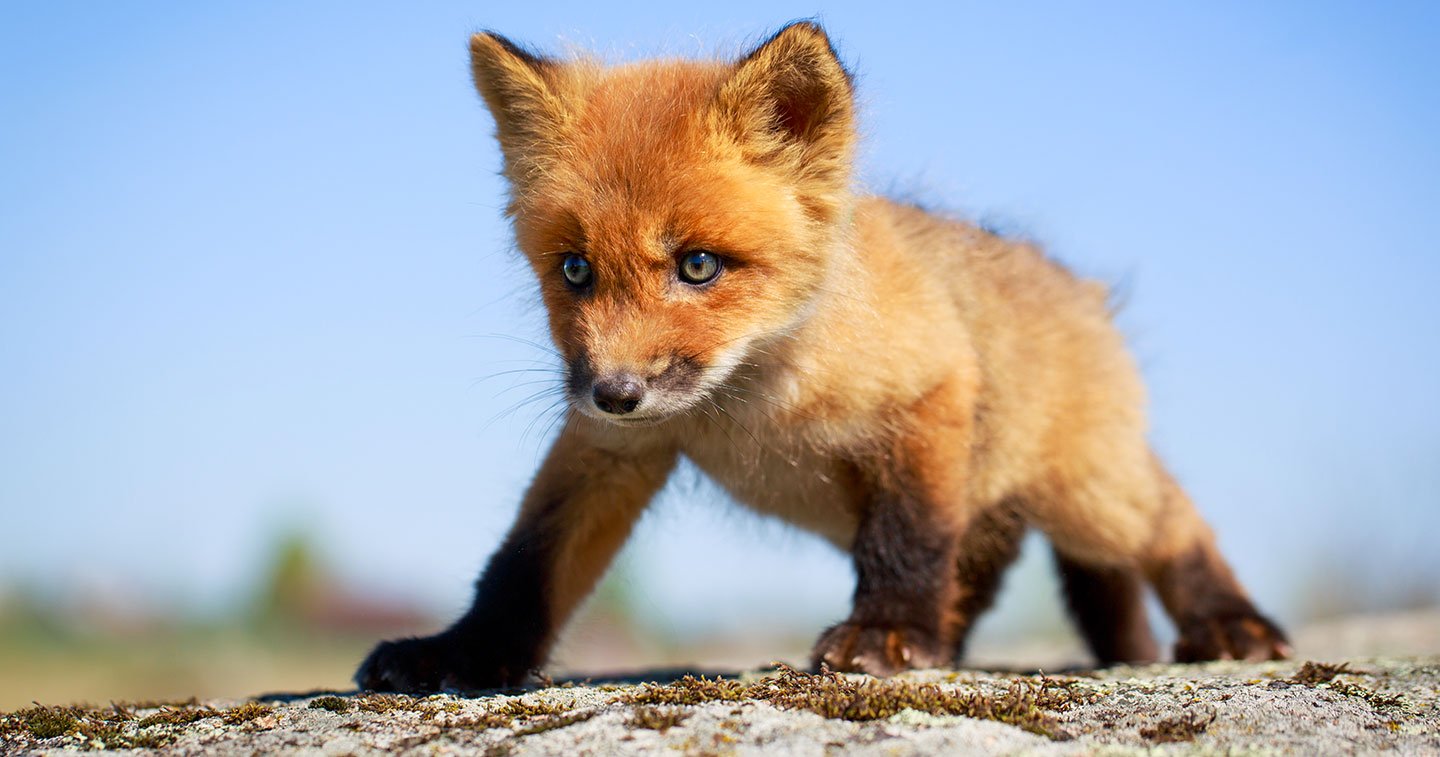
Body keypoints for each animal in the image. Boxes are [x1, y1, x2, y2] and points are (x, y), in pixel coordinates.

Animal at [354, 20, 1290, 693]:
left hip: (1087, 493)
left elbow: (905, 539)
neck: (754, 401)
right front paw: (461, 653)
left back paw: (1231, 624)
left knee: (1173, 519)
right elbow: (526, 563)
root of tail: (1082, 290)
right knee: (986, 575)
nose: (612, 391)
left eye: (698, 265)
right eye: (575, 270)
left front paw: (885, 635)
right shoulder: (611, 453)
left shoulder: (926, 399)